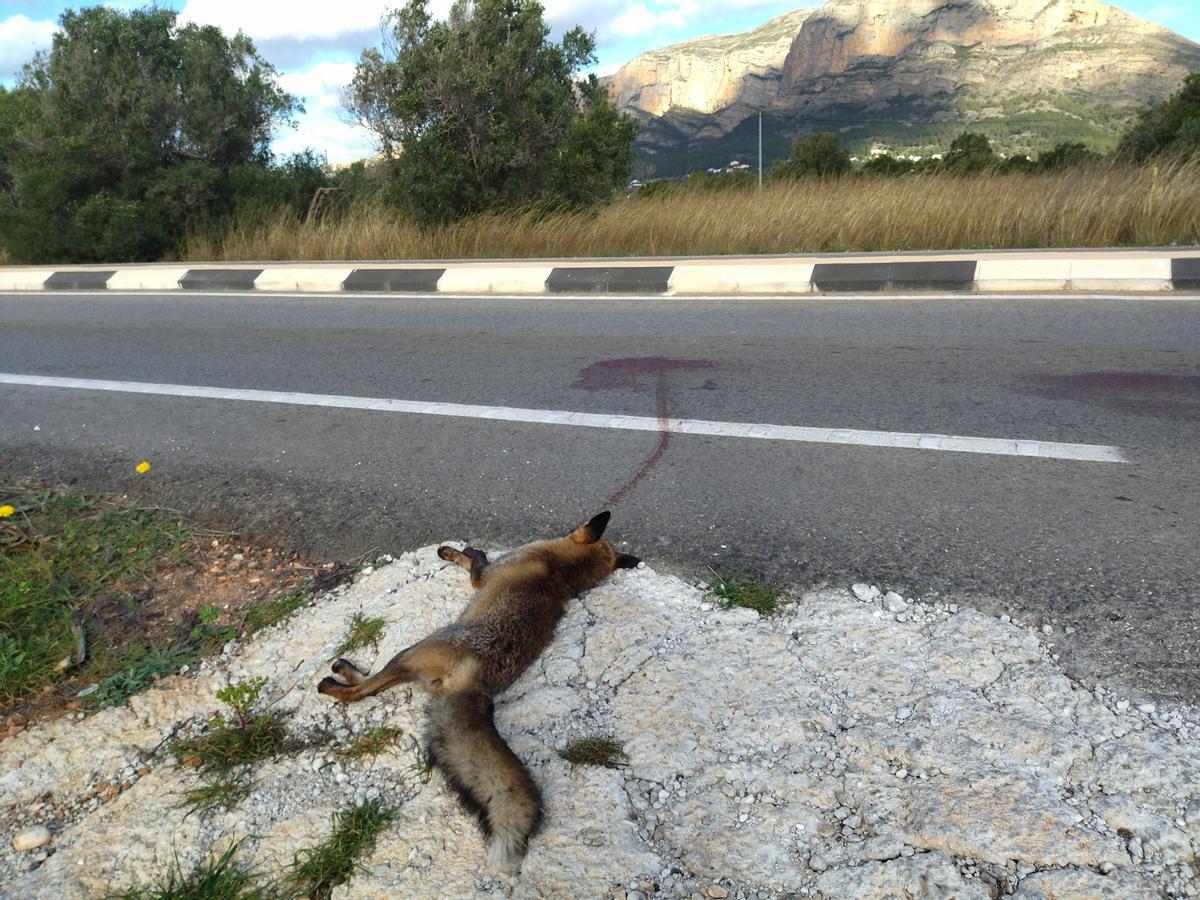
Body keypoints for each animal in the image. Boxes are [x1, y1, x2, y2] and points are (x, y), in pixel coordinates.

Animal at [316, 513, 638, 873]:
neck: (559, 571)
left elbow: (475, 560)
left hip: (410, 652)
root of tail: (477, 684)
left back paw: (336, 679)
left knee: (363, 692)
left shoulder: (483, 576)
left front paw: (453, 552)